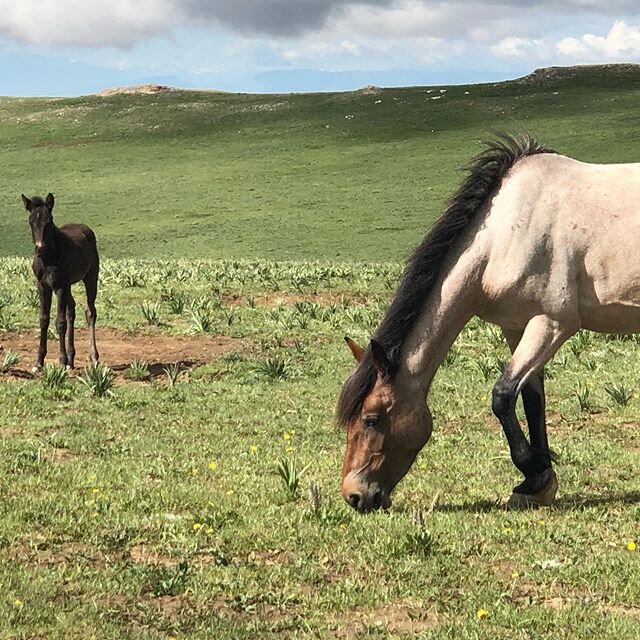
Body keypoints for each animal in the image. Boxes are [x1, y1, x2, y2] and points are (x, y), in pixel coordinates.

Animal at [21, 192, 99, 368]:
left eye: (49, 221)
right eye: (31, 221)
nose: (40, 248)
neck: (48, 258)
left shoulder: (60, 286)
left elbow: (60, 323)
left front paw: (62, 361)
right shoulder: (43, 286)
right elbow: (43, 319)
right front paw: (39, 362)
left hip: (91, 277)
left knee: (90, 312)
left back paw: (93, 357)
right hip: (68, 285)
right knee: (72, 309)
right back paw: (71, 359)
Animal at [340, 135, 640, 516]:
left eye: (372, 418)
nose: (354, 495)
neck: (509, 232)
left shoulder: (552, 324)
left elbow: (502, 396)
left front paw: (534, 471)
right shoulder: (517, 327)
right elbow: (531, 400)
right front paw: (537, 483)